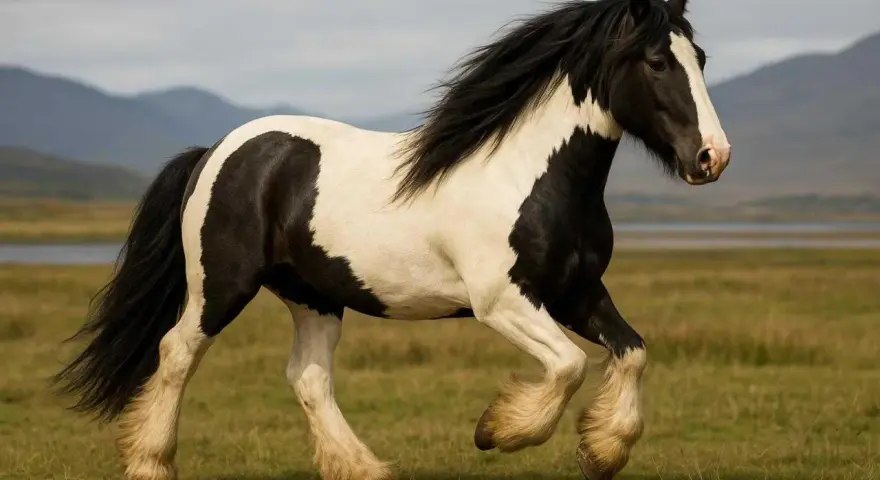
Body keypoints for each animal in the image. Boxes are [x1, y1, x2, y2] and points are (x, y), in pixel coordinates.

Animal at [52, 0, 731, 479]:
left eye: (700, 57)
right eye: (656, 62)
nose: (712, 157)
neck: (533, 176)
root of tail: (218, 150)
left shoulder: (578, 292)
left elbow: (632, 351)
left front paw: (602, 450)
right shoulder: (502, 301)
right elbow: (568, 365)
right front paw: (496, 432)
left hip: (315, 295)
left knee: (308, 377)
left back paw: (361, 468)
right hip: (220, 288)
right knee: (175, 353)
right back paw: (150, 463)